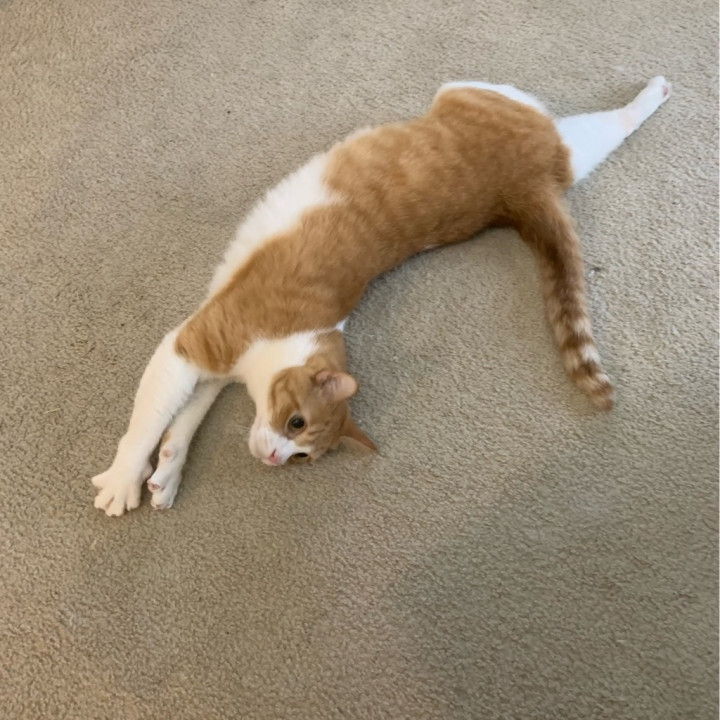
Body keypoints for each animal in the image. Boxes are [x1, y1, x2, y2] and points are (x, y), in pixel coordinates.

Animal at [92, 75, 671, 515]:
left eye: (304, 453)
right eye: (296, 423)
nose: (277, 459)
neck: (294, 339)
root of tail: (520, 193)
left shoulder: (206, 354)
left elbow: (174, 418)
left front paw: (156, 473)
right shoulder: (197, 347)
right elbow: (156, 421)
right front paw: (136, 475)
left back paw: (653, 92)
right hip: (519, 116)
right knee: (604, 124)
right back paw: (654, 93)